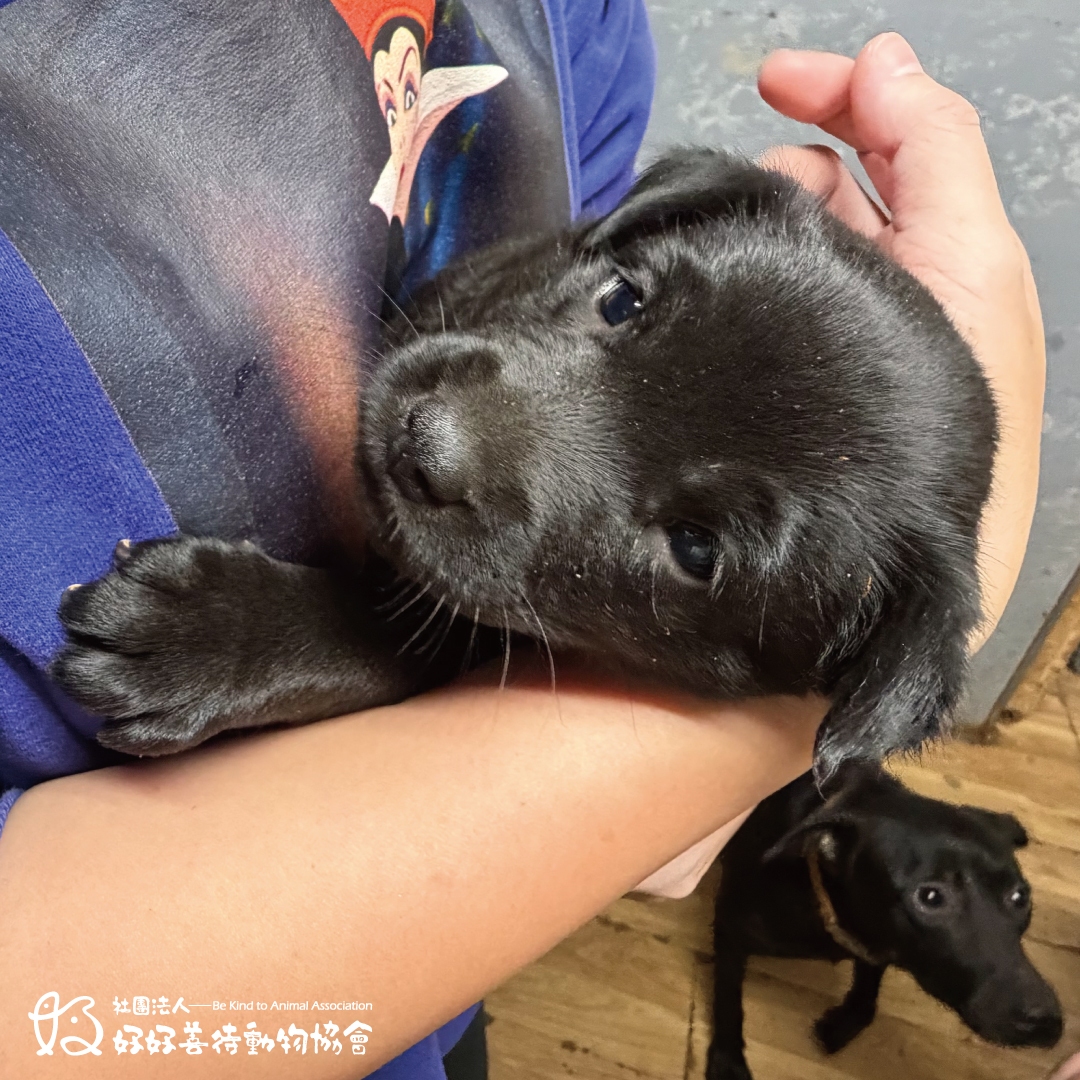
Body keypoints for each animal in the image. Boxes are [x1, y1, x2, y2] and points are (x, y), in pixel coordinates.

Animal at [707, 765, 1062, 1080]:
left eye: (1019, 896)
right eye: (931, 897)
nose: (1045, 1021)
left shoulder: (878, 942)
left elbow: (869, 980)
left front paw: (850, 1017)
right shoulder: (730, 931)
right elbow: (728, 1001)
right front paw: (727, 1061)